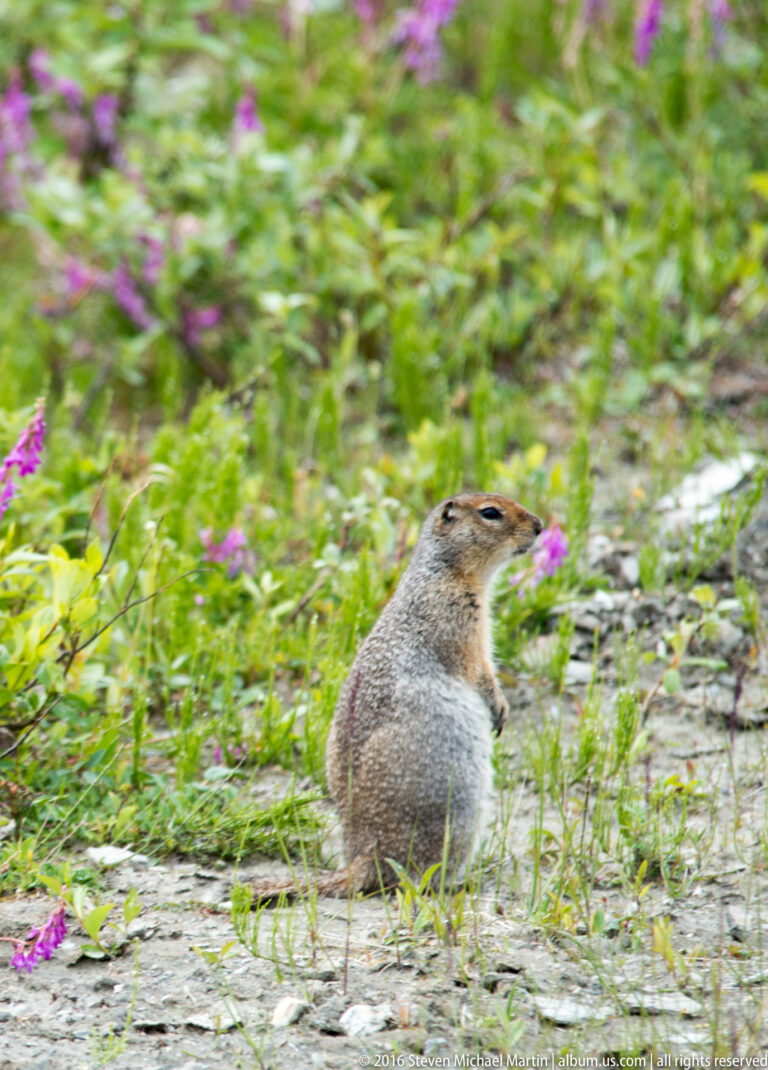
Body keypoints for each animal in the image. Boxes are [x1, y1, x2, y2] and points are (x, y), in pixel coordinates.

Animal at [251, 492, 542, 901]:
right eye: (490, 513)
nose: (540, 526)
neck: (444, 571)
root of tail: (363, 857)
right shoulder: (457, 618)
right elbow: (476, 667)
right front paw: (499, 704)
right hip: (459, 808)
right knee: (414, 878)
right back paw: (458, 882)